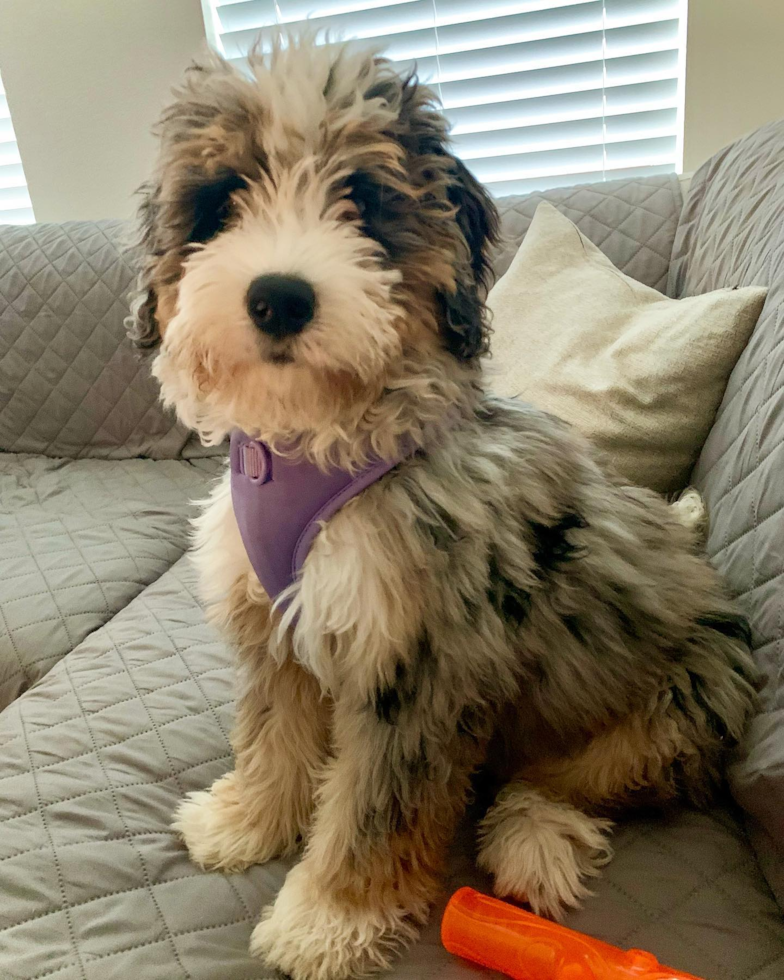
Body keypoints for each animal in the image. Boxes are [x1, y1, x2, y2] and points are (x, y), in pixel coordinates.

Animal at [130, 34, 760, 980]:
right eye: (223, 199)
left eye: (362, 202)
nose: (279, 297)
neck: (322, 443)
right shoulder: (277, 628)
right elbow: (273, 735)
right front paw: (248, 821)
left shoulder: (419, 667)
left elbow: (372, 810)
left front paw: (328, 919)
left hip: (673, 703)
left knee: (563, 780)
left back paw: (532, 841)